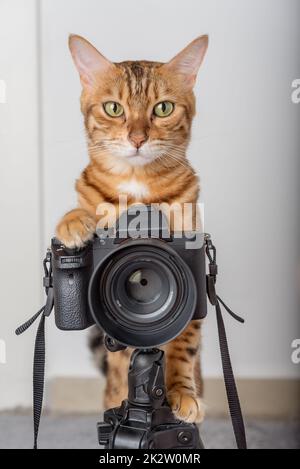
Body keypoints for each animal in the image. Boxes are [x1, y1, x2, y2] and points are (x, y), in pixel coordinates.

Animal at [55, 32, 207, 420]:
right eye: (113, 108)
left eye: (163, 109)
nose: (137, 138)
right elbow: (87, 208)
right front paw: (73, 222)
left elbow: (184, 342)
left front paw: (181, 391)